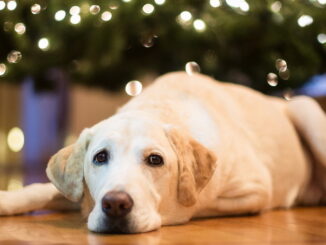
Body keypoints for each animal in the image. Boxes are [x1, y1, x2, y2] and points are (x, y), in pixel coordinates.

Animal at [0, 71, 326, 234]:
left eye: (155, 160)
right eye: (100, 157)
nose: (114, 204)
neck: (159, 107)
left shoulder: (255, 189)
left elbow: (196, 204)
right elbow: (42, 190)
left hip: (305, 109)